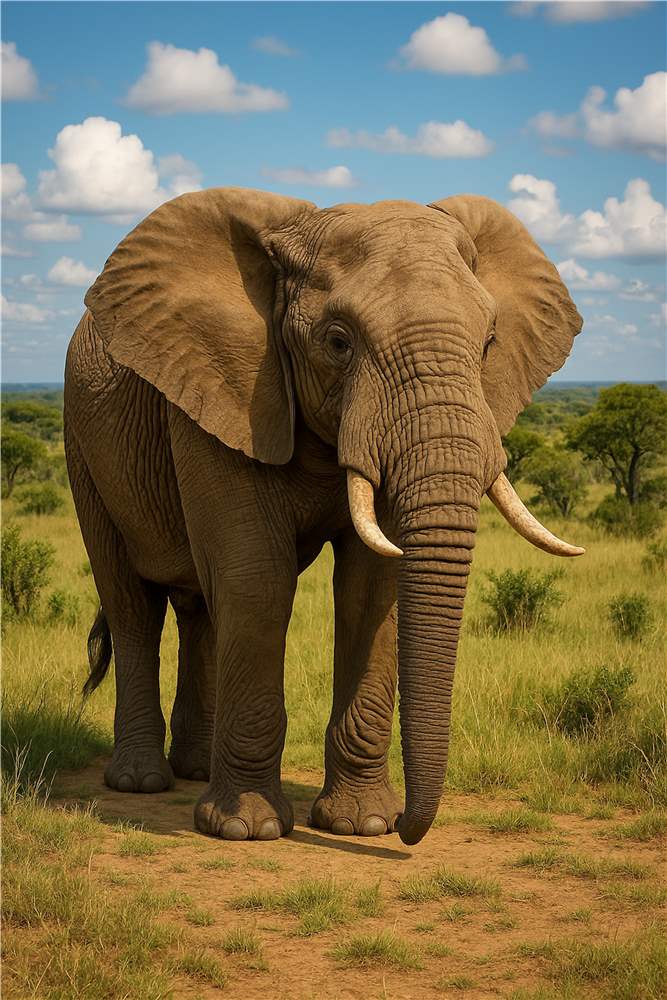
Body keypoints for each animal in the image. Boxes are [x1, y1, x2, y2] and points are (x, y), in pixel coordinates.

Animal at [64, 187, 584, 846]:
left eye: (490, 342)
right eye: (338, 342)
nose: (411, 830)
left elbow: (372, 587)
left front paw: (363, 825)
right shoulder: (230, 391)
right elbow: (257, 579)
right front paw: (247, 830)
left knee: (200, 609)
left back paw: (197, 769)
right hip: (81, 443)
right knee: (132, 604)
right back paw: (141, 782)